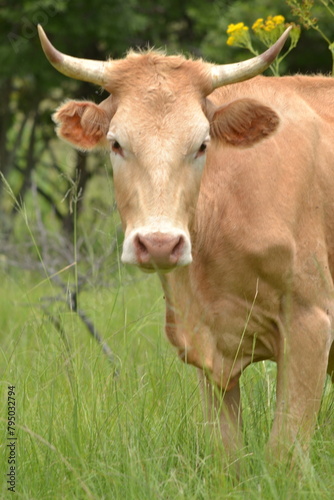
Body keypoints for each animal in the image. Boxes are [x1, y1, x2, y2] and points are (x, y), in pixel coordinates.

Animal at [39, 23, 334, 460]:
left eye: (202, 145)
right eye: (116, 143)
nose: (160, 244)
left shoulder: (310, 325)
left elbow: (283, 453)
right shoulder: (205, 349)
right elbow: (227, 456)